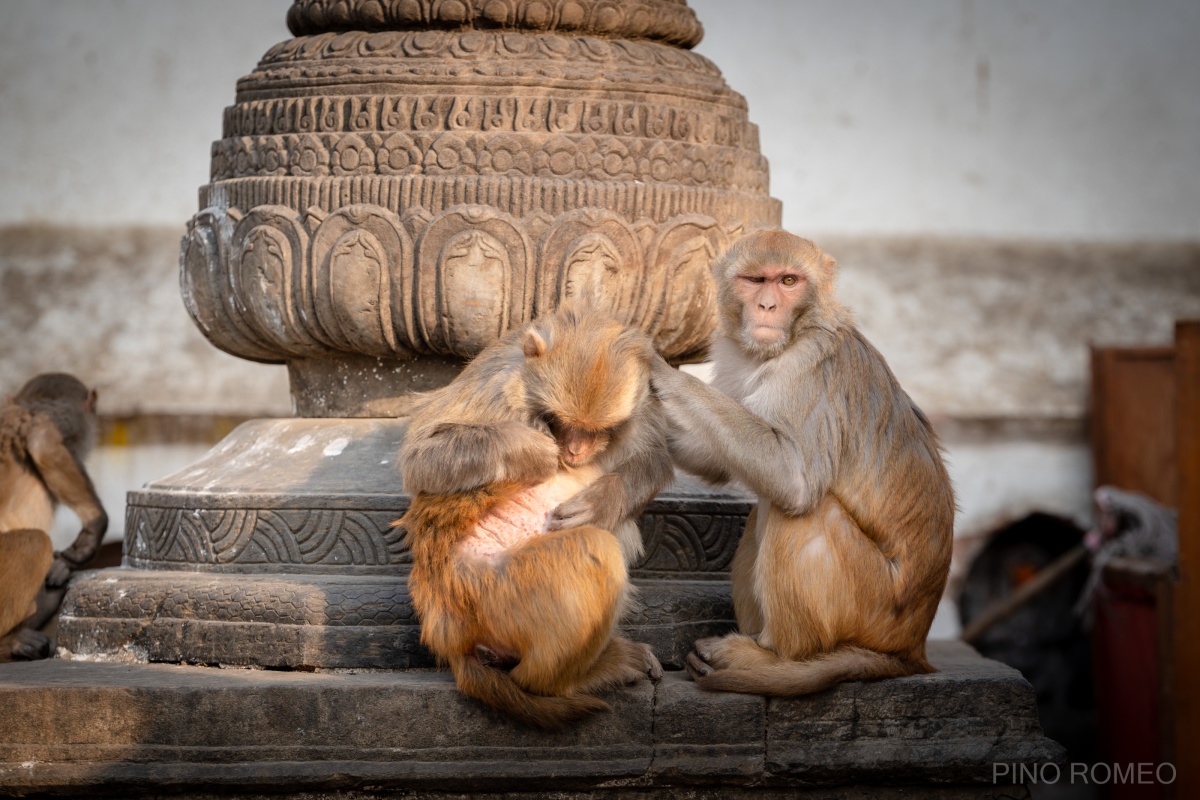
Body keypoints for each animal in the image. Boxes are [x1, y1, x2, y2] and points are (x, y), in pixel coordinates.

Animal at [652, 230, 950, 695]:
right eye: (756, 280)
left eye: (788, 281)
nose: (767, 306)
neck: (785, 341)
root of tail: (909, 651)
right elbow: (716, 460)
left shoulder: (809, 370)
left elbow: (793, 476)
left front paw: (648, 364)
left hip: (871, 604)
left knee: (802, 511)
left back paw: (775, 659)